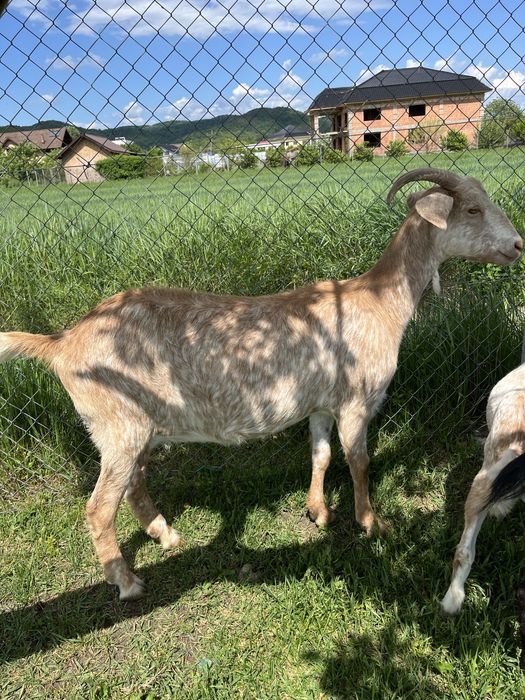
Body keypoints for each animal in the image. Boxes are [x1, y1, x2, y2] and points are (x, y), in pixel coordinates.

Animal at [0, 168, 521, 600]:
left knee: (134, 485)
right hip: (117, 426)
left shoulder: (320, 404)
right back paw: (127, 582)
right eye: (472, 209)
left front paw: (318, 511)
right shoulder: (357, 400)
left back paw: (166, 534)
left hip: (136, 428)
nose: (517, 245)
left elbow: (320, 454)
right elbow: (359, 461)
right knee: (98, 508)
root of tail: (63, 342)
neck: (378, 302)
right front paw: (373, 523)